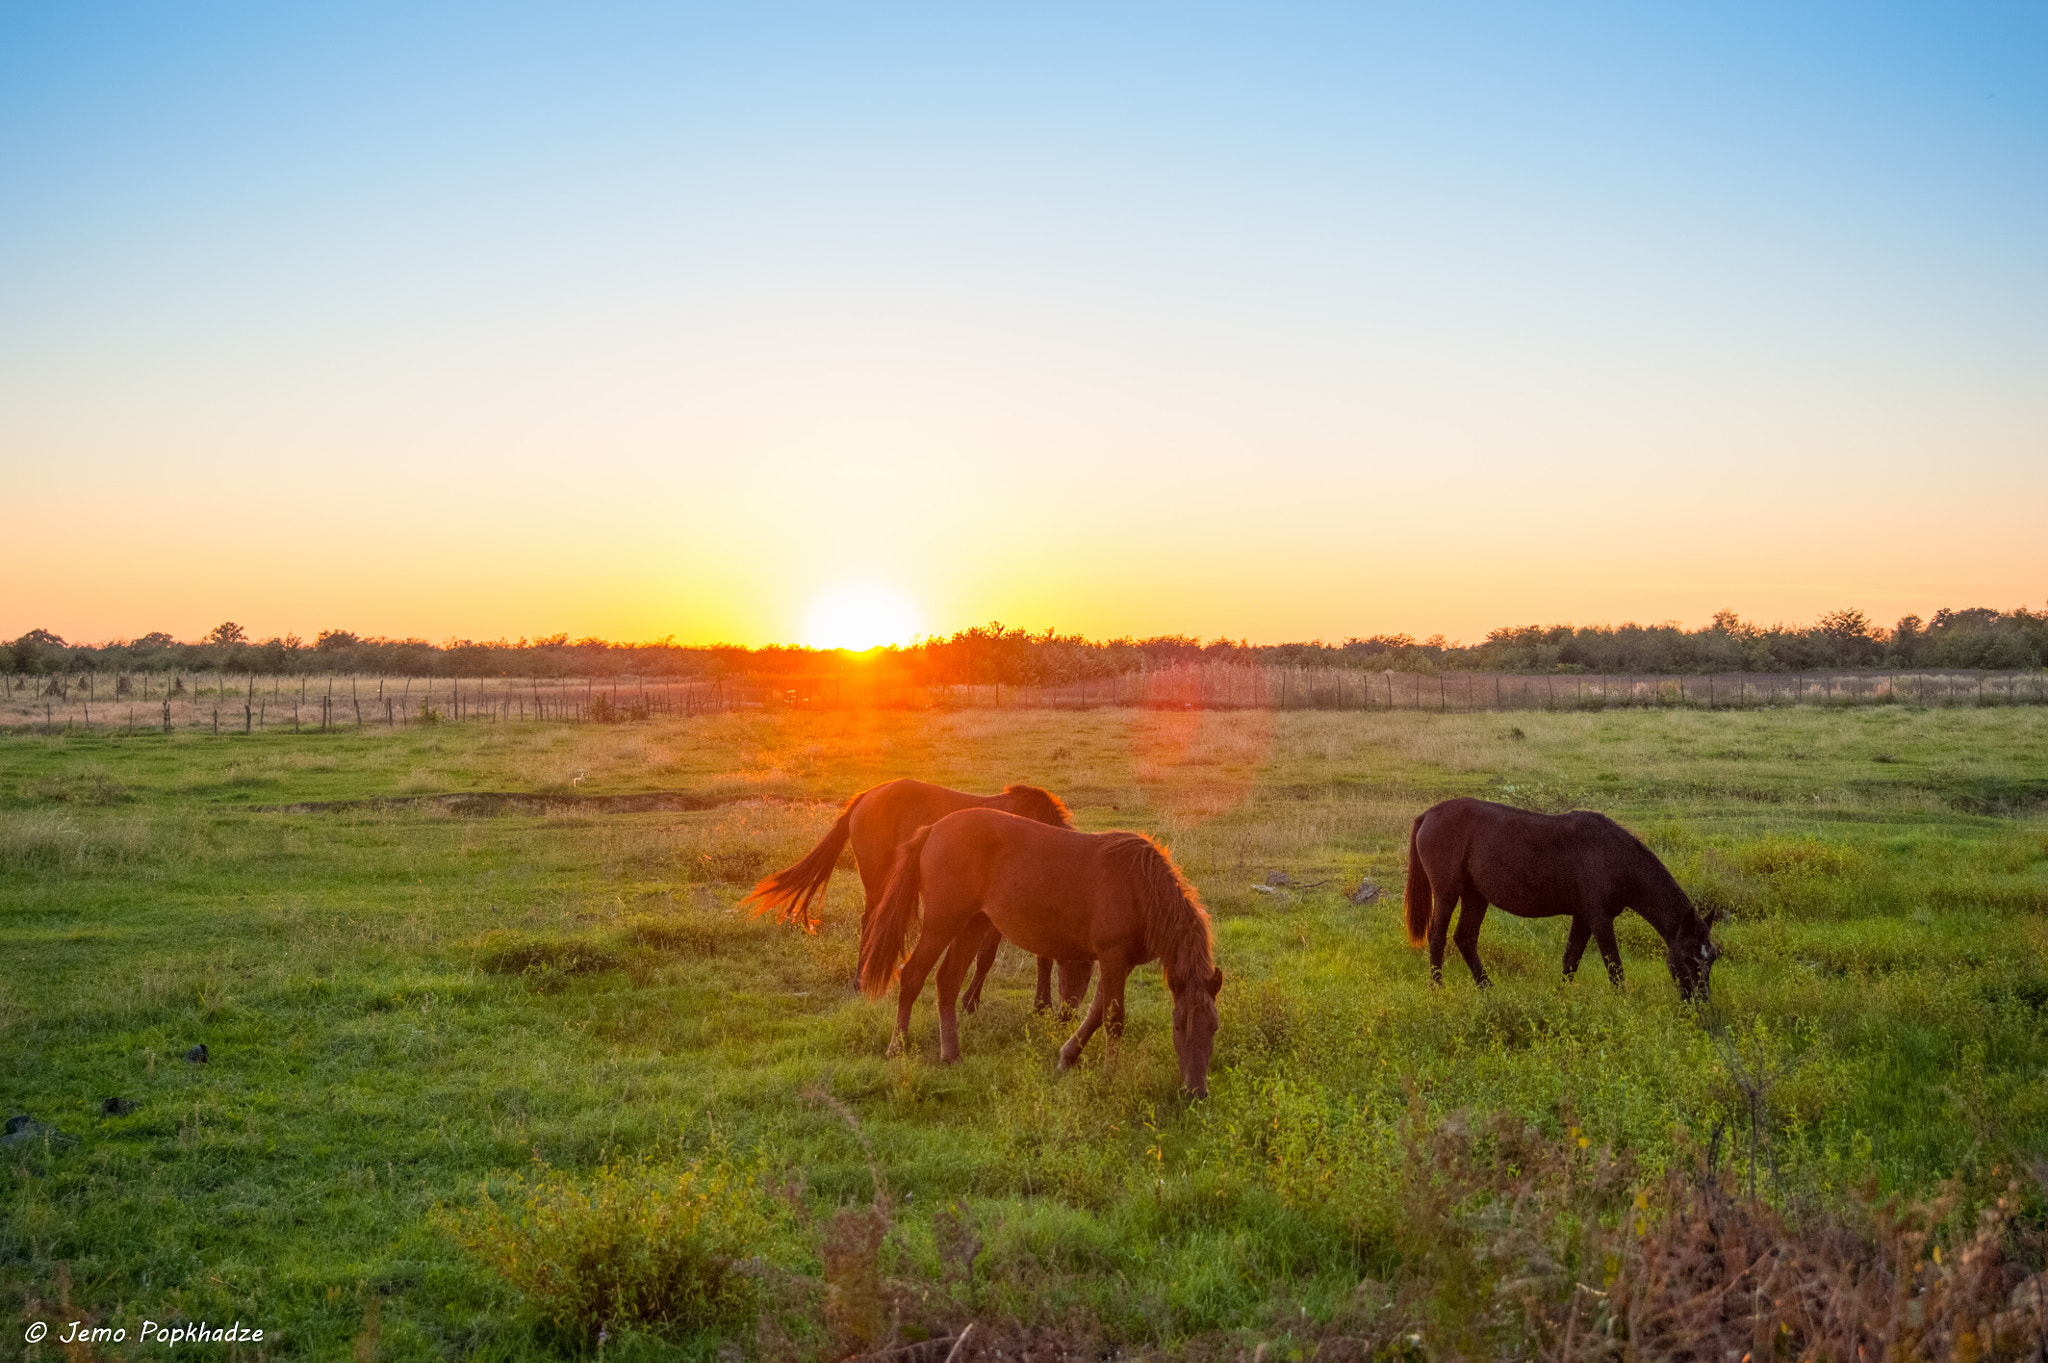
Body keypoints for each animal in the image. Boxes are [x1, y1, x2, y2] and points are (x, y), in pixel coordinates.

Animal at [737, 773, 1089, 1006]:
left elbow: (1031, 956)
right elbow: (988, 957)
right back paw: (860, 981)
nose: (1071, 1008)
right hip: (878, 880)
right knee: (871, 922)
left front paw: (1037, 1004)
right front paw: (972, 1001)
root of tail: (867, 795)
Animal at [856, 806, 1220, 1096]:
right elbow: (1113, 1018)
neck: (1139, 887)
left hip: (973, 923)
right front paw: (1110, 1074)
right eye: (1178, 1026)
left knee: (947, 981)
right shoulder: (1112, 957)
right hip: (942, 923)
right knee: (912, 975)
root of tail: (933, 829)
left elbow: (1095, 1013)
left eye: (1214, 1027)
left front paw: (1067, 1057)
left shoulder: (1120, 962)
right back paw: (897, 1048)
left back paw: (952, 1054)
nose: (1196, 1091)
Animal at [1400, 798, 1720, 998]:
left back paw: (1487, 988)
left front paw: (1561, 998)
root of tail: (1429, 814)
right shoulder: (1599, 919)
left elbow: (1570, 962)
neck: (1613, 856)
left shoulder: (1583, 918)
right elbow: (1614, 967)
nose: (1701, 1001)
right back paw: (1438, 989)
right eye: (1688, 958)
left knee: (1465, 938)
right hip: (1446, 893)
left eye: (1712, 957)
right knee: (1437, 936)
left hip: (1475, 897)